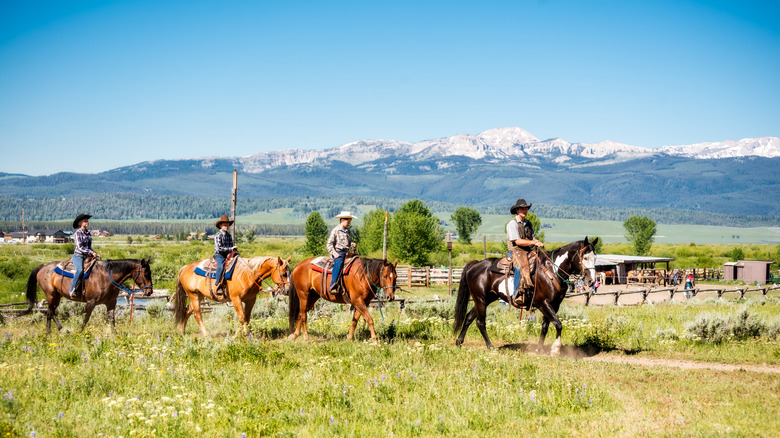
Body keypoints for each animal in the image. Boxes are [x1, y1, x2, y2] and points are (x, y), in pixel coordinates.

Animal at [26, 256, 154, 332]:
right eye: (146, 273)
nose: (150, 291)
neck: (106, 277)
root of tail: (42, 267)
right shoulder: (91, 302)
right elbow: (86, 318)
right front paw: (80, 333)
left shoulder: (111, 303)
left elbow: (112, 320)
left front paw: (115, 337)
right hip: (51, 295)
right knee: (51, 312)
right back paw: (61, 330)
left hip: (57, 296)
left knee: (49, 312)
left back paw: (48, 334)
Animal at [450, 236, 596, 356]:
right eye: (585, 257)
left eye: (595, 258)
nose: (591, 281)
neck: (552, 271)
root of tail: (475, 265)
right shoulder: (543, 303)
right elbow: (558, 324)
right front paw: (555, 349)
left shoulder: (554, 305)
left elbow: (545, 326)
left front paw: (539, 349)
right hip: (480, 299)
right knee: (480, 322)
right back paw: (490, 346)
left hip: (485, 299)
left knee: (469, 318)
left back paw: (459, 342)